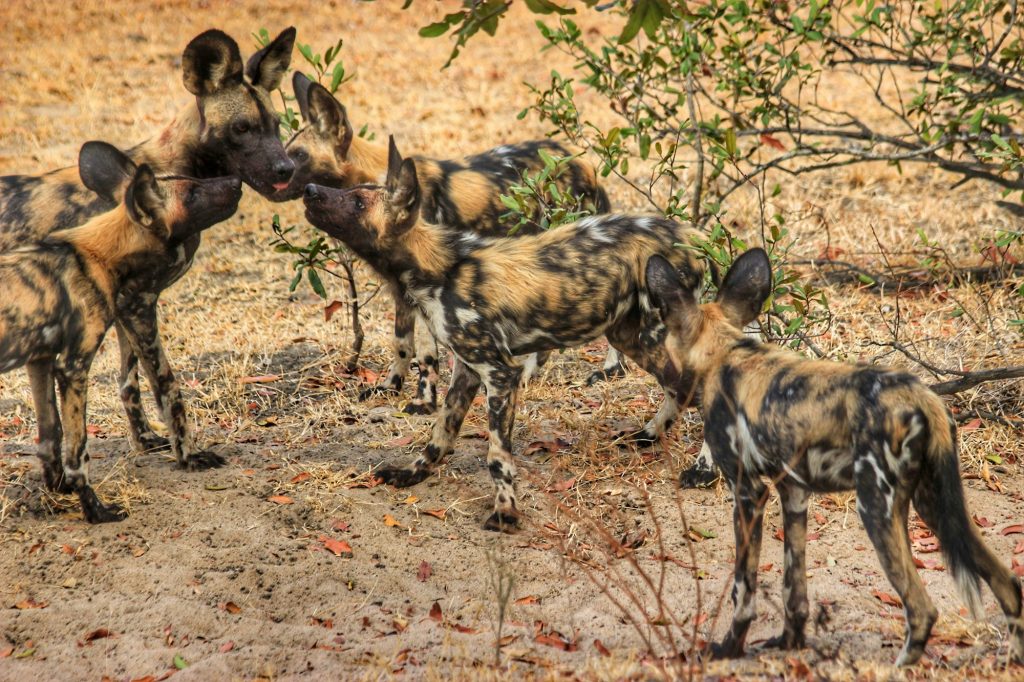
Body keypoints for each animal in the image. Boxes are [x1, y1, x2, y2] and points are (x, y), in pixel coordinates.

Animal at [0, 29, 296, 471]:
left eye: (276, 126)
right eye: (242, 128)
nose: (287, 169)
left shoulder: (130, 304)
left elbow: (129, 381)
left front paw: (143, 441)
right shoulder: (136, 303)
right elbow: (167, 385)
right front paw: (187, 455)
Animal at [0, 147, 241, 520]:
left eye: (194, 180)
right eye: (192, 193)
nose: (237, 181)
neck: (95, 255)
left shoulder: (40, 360)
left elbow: (50, 435)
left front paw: (57, 487)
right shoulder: (74, 367)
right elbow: (80, 450)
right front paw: (94, 508)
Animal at [272, 76, 622, 411]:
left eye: (299, 155)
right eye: (286, 150)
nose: (273, 177)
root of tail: (585, 165)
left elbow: (425, 351)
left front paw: (422, 398)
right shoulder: (403, 291)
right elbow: (402, 344)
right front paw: (391, 387)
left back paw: (609, 370)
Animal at [301, 139, 704, 532]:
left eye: (358, 202)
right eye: (351, 191)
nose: (309, 189)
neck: (438, 268)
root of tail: (692, 236)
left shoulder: (498, 373)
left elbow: (497, 456)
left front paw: (506, 513)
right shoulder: (467, 370)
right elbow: (440, 432)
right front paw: (413, 473)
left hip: (653, 336)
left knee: (699, 391)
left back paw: (703, 470)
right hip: (631, 338)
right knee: (678, 389)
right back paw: (649, 435)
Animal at [647, 248, 1024, 663]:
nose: (662, 375)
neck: (725, 352)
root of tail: (922, 396)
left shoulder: (747, 494)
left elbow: (742, 588)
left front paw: (729, 647)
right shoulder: (794, 495)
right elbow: (793, 589)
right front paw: (790, 643)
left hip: (876, 507)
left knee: (922, 608)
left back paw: (899, 666)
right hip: (935, 505)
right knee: (1008, 585)